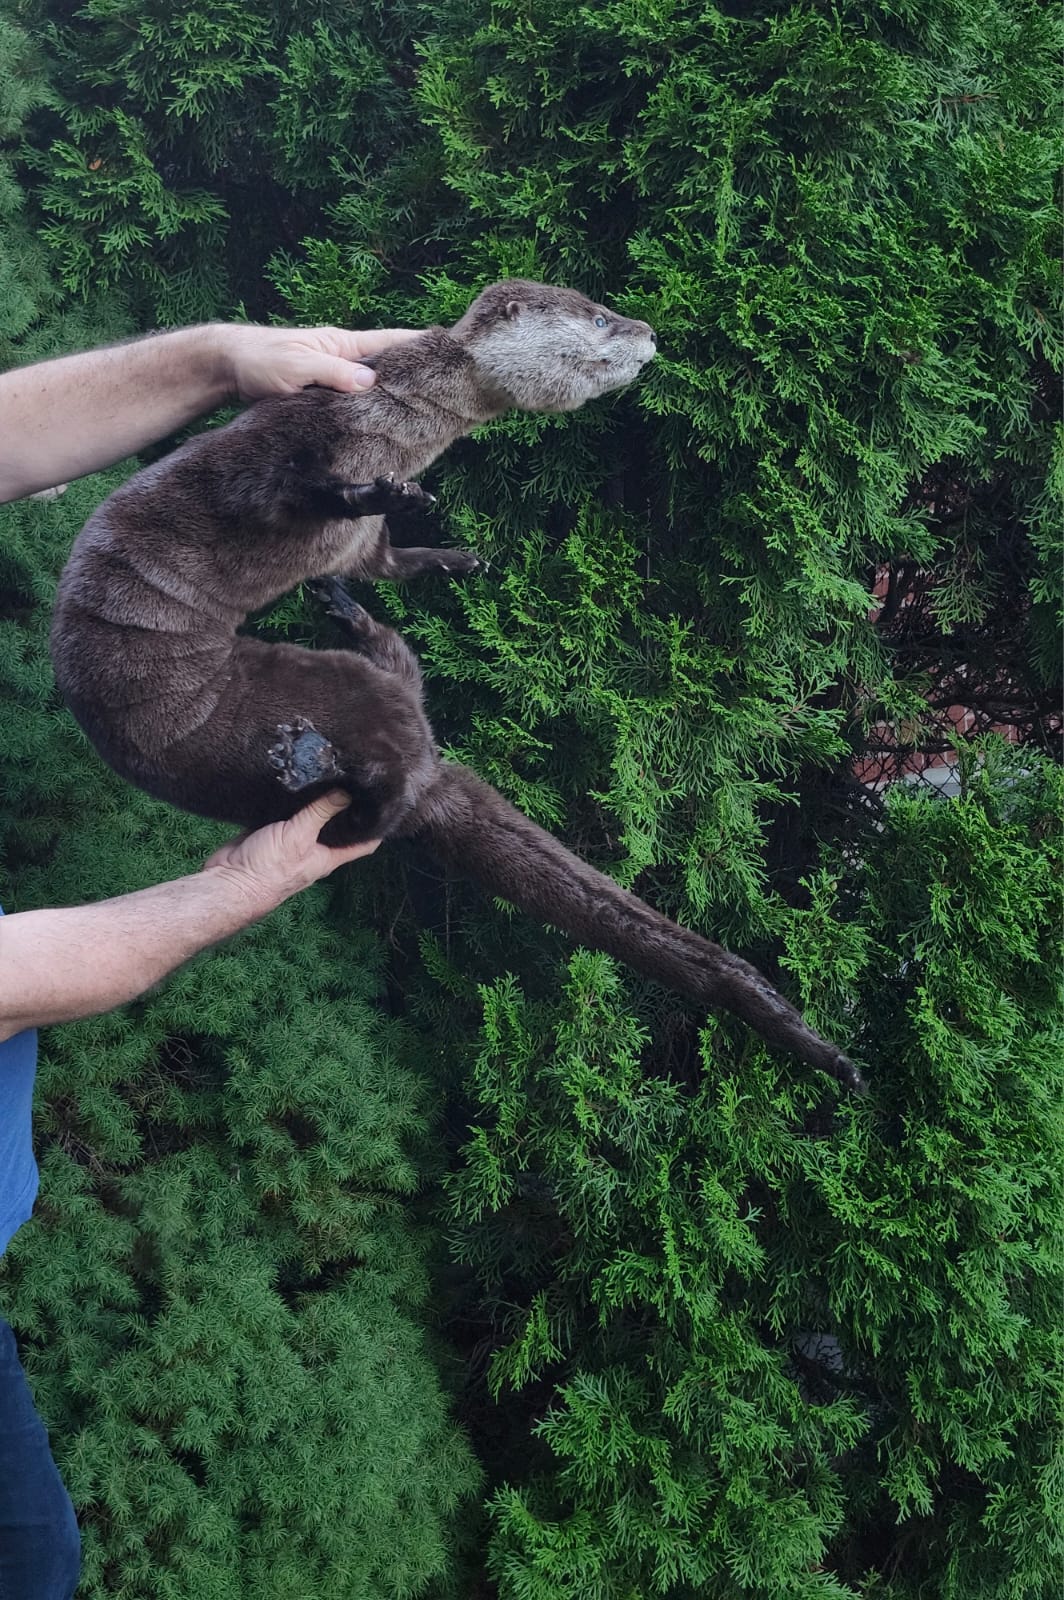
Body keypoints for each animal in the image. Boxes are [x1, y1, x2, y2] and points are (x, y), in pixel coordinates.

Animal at [50, 279, 865, 1093]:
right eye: (600, 315)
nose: (649, 330)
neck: (398, 424)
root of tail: (427, 760)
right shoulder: (283, 444)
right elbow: (291, 493)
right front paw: (382, 493)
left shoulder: (359, 538)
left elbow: (382, 561)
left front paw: (450, 556)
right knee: (373, 796)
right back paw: (312, 760)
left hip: (355, 702)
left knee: (391, 724)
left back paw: (332, 688)